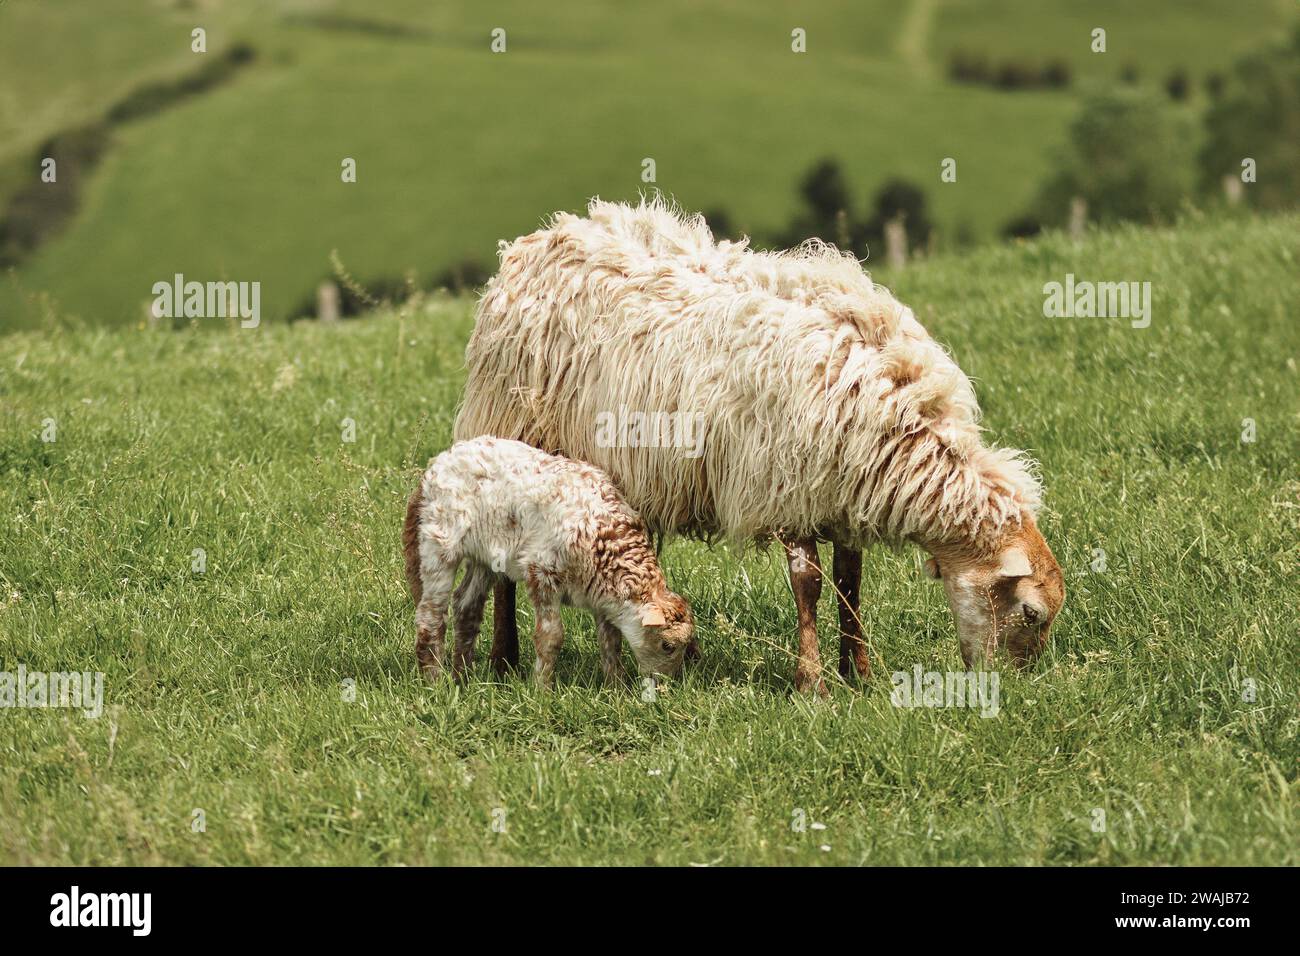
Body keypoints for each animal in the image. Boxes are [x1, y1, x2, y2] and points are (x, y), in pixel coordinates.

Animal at [403, 436, 694, 687]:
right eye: (667, 645)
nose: (666, 685)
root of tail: (436, 465)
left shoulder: (602, 596)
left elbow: (611, 641)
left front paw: (616, 688)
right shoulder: (542, 571)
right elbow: (551, 637)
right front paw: (542, 688)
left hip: (484, 555)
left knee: (466, 607)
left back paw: (461, 678)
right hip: (439, 543)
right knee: (430, 616)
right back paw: (435, 683)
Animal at [453, 198, 1064, 693]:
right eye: (1031, 613)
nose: (1010, 689)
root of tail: (540, 238)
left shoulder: (841, 493)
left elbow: (850, 583)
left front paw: (858, 673)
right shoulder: (785, 485)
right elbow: (810, 585)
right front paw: (812, 685)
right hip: (513, 433)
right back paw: (504, 658)